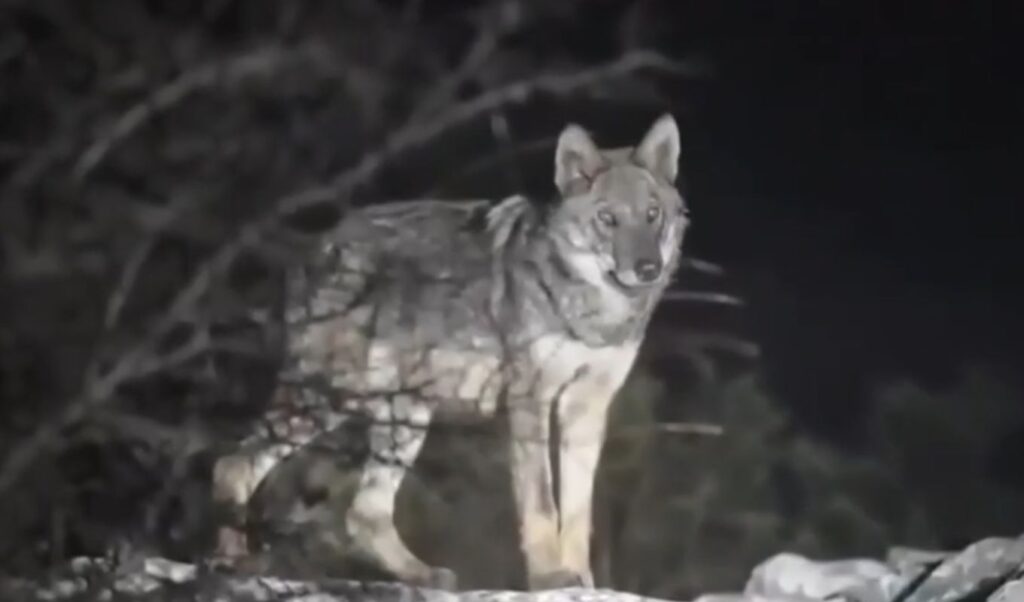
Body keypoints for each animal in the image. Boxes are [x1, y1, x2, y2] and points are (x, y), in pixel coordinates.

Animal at [211, 114, 690, 590]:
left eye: (652, 214)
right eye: (608, 218)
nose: (648, 268)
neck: (598, 313)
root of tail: (315, 246)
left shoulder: (586, 407)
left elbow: (576, 510)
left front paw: (584, 582)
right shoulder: (529, 402)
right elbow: (541, 502)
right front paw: (551, 577)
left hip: (404, 416)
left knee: (364, 512)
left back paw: (421, 575)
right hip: (331, 399)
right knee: (233, 465)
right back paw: (232, 565)